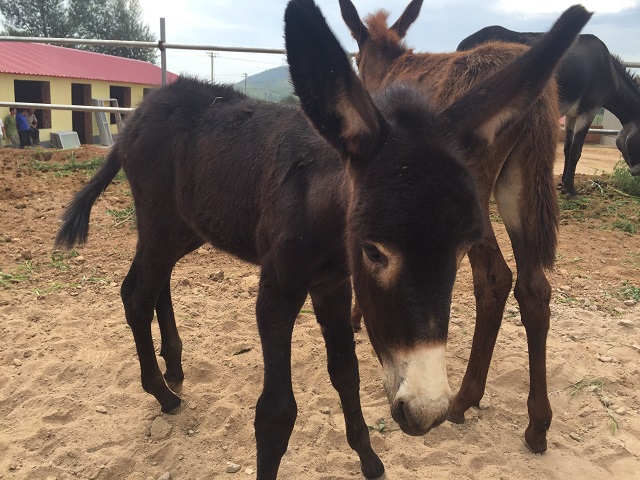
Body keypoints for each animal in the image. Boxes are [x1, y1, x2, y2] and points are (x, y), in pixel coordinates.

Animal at [56, 0, 592, 476]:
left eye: (462, 250)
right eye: (374, 251)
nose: (425, 414)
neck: (321, 212)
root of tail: (140, 113)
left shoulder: (333, 285)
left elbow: (347, 375)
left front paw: (371, 462)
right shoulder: (278, 290)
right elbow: (276, 413)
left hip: (185, 228)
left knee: (156, 281)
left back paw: (173, 367)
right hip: (161, 221)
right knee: (134, 292)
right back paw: (163, 393)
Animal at [458, 25, 640, 195]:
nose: (636, 174)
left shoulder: (572, 115)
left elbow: (567, 149)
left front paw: (563, 185)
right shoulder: (589, 110)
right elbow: (576, 151)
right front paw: (571, 189)